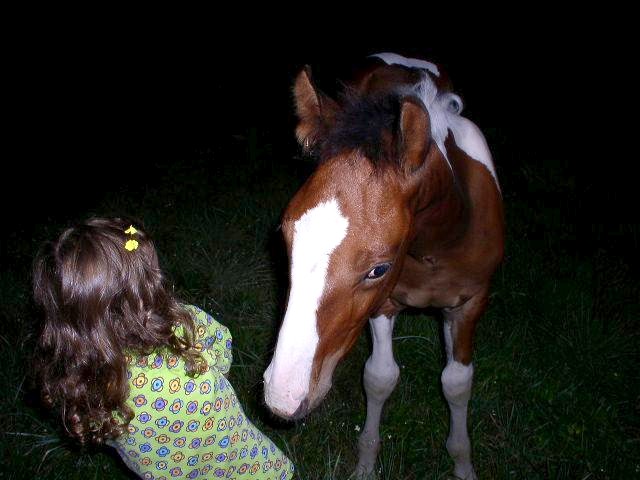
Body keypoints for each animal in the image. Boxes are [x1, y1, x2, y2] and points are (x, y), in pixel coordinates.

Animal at [262, 53, 502, 480]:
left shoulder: (471, 303)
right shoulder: (384, 306)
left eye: (378, 269)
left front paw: (462, 464)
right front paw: (366, 463)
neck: (437, 244)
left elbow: (457, 382)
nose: (282, 397)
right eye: (285, 239)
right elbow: (379, 377)